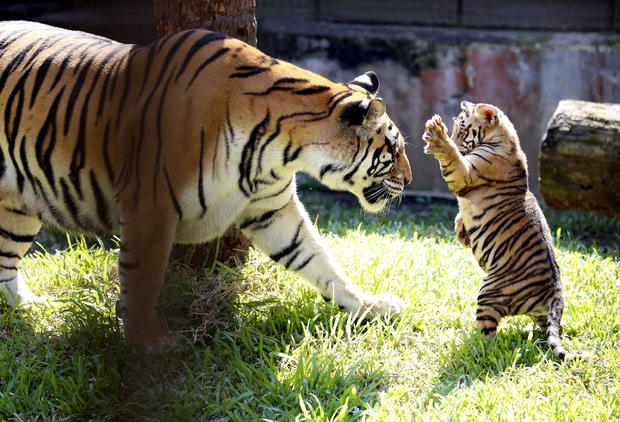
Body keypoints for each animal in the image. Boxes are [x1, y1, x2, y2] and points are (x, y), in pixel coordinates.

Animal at [0, 21, 412, 352]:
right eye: (394, 149)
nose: (408, 180)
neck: (281, 148)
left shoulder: (272, 209)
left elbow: (320, 260)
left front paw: (370, 307)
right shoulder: (150, 209)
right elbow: (141, 277)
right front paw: (148, 342)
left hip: (15, 210)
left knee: (5, 264)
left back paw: (31, 307)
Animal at [422, 102, 576, 360]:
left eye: (462, 131)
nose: (453, 138)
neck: (505, 139)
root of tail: (556, 290)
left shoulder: (465, 174)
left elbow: (453, 159)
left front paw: (438, 136)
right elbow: (460, 218)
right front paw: (461, 232)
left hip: (490, 292)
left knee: (489, 336)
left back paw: (471, 348)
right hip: (539, 312)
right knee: (555, 328)